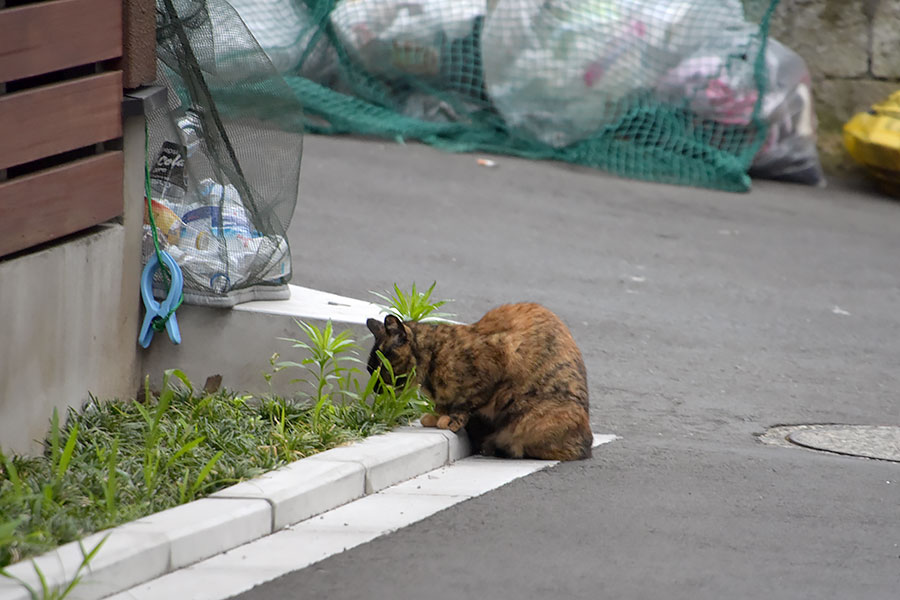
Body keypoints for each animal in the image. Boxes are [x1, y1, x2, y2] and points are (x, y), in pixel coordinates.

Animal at [370, 302, 596, 462]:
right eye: (370, 370)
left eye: (382, 366)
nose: (375, 389)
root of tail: (586, 445)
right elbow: (443, 405)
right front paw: (436, 415)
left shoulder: (499, 358)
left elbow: (467, 400)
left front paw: (450, 419)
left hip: (532, 416)